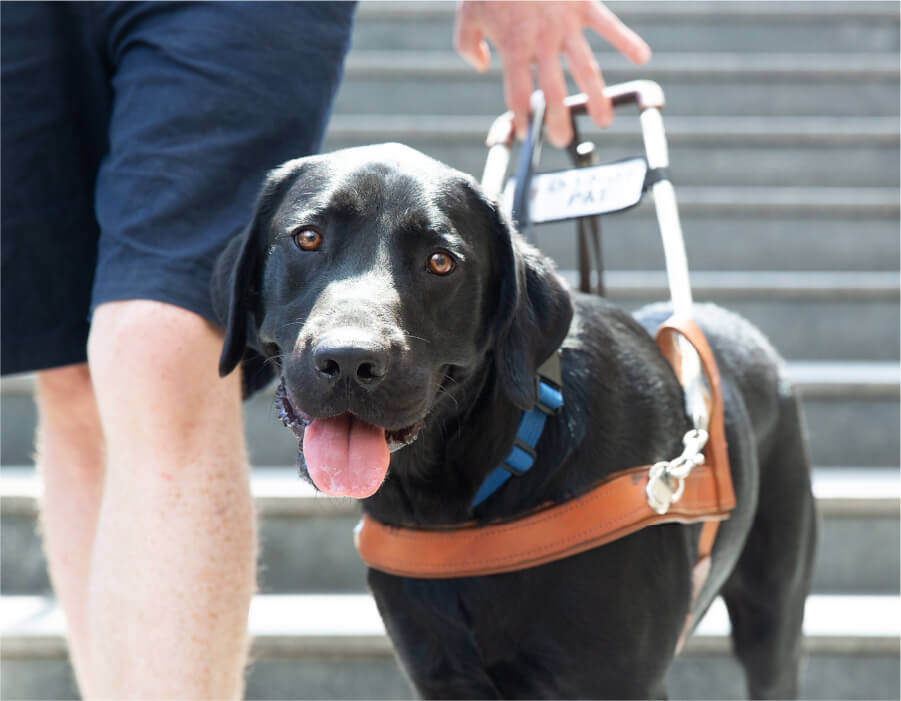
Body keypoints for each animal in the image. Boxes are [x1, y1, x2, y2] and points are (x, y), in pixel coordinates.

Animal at [214, 144, 820, 700]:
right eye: (307, 238)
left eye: (441, 262)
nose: (349, 361)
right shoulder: (442, 679)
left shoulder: (615, 682)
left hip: (772, 618)